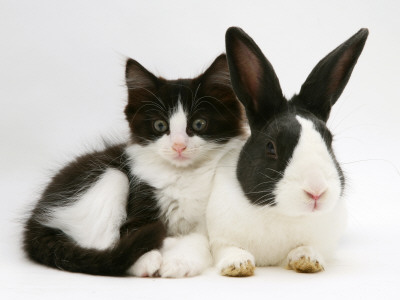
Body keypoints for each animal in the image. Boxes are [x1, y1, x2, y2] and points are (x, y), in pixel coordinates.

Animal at [23, 54, 247, 276]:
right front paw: (152, 257)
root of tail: (34, 219)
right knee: (105, 244)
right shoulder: (141, 192)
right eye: (160, 125)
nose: (178, 146)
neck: (183, 174)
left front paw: (178, 262)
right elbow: (131, 232)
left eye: (199, 124)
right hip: (110, 176)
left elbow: (201, 239)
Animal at [208, 27, 368, 276]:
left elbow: (307, 247)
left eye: (329, 141)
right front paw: (238, 265)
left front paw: (308, 260)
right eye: (271, 147)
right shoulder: (219, 237)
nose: (316, 191)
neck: (283, 214)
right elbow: (228, 249)